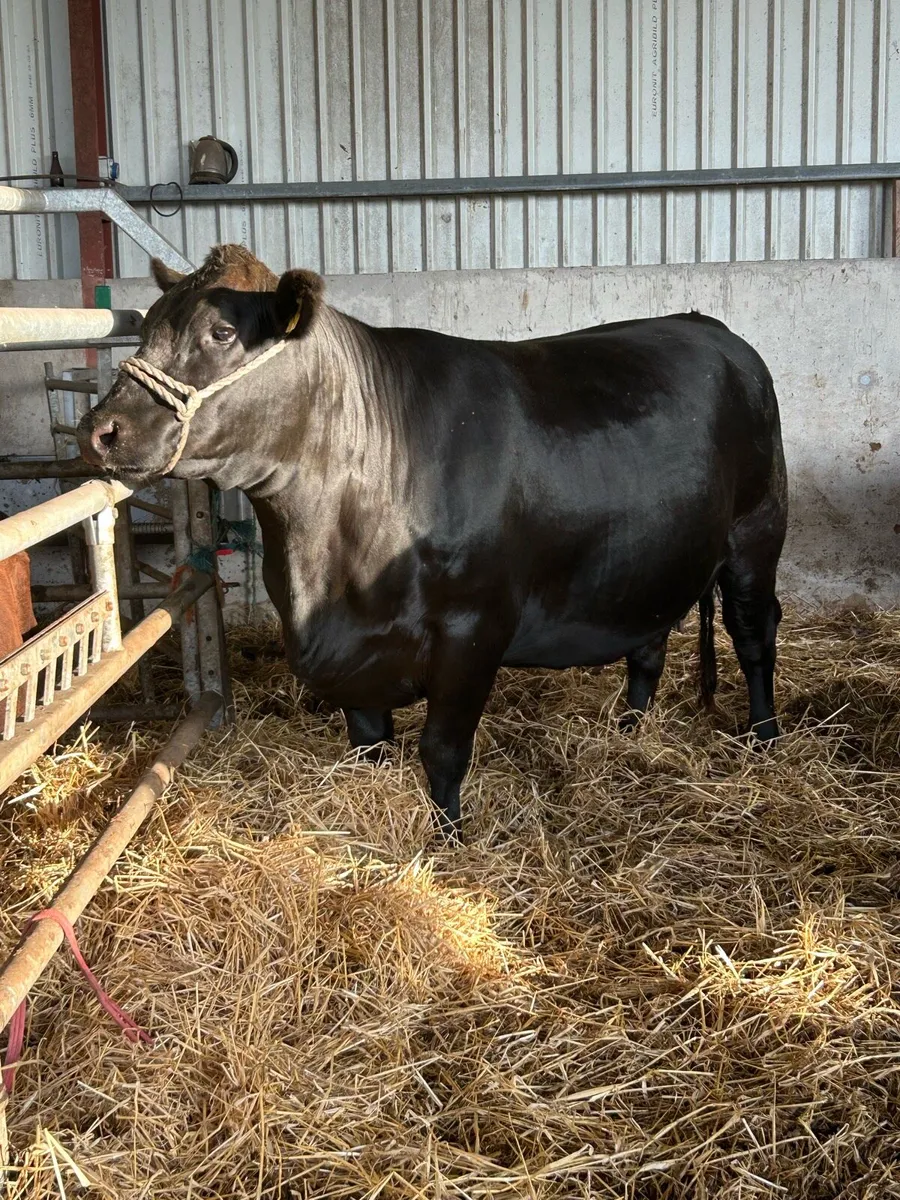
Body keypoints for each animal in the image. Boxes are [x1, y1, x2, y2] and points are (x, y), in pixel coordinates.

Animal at [78, 245, 788, 839]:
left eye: (221, 332)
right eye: (147, 327)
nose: (100, 430)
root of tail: (713, 327)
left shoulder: (474, 629)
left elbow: (443, 750)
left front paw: (448, 841)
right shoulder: (355, 653)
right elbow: (368, 743)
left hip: (756, 532)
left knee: (754, 634)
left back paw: (764, 738)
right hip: (650, 559)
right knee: (648, 645)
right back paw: (630, 730)